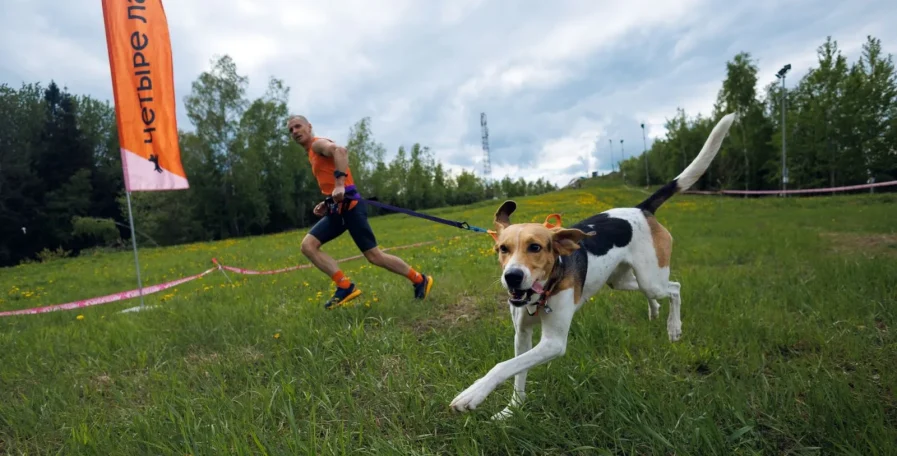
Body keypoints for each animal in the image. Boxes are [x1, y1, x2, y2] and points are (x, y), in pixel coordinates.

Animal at [448, 112, 736, 418]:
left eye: (535, 247)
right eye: (503, 249)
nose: (512, 277)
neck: (542, 293)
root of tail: (641, 208)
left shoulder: (553, 343)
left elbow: (502, 366)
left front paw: (473, 393)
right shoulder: (522, 334)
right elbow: (517, 372)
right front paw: (513, 408)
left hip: (651, 277)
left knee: (675, 287)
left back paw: (674, 327)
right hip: (621, 280)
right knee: (655, 291)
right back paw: (655, 310)